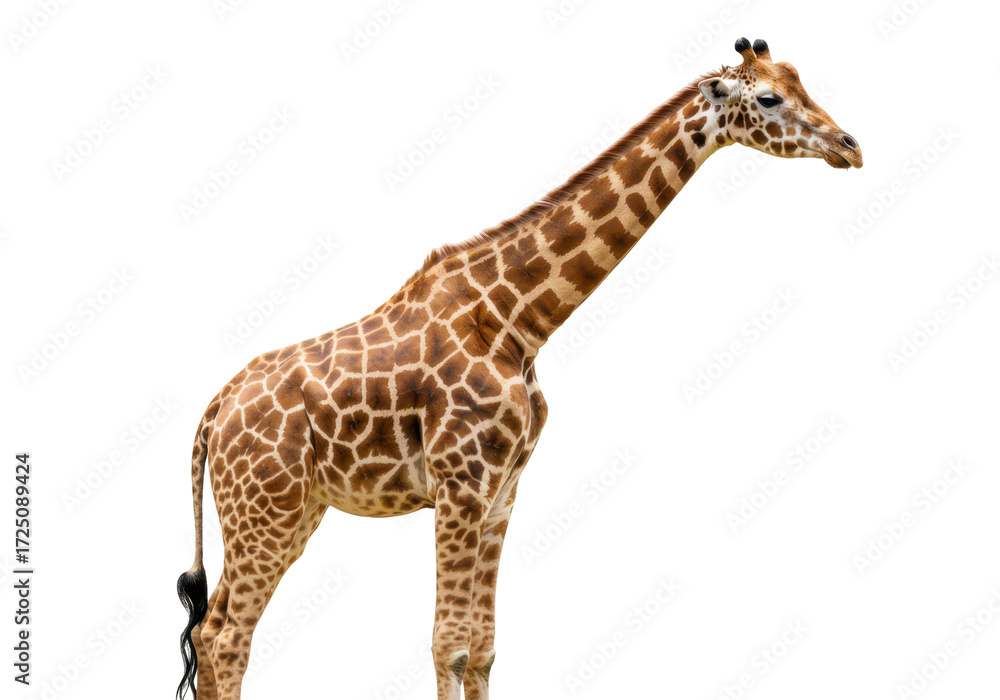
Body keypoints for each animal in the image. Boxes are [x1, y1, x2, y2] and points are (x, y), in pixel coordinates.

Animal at [176, 38, 861, 700]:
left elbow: (482, 649)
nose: (850, 147)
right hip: (266, 509)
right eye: (769, 98)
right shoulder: (460, 483)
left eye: (800, 80)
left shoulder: (503, 491)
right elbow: (448, 645)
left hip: (292, 510)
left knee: (211, 631)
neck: (518, 321)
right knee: (228, 637)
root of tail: (213, 412)